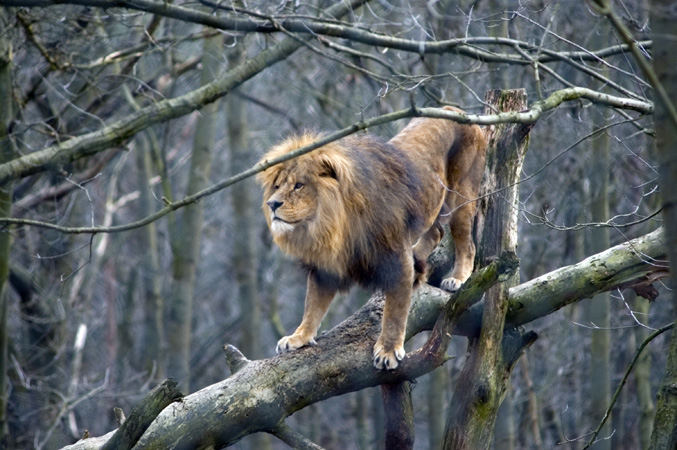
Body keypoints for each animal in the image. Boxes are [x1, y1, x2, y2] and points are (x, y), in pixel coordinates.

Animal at [258, 106, 486, 370]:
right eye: (276, 186)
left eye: (298, 185)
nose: (272, 204)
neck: (334, 225)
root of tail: (455, 109)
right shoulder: (325, 267)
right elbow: (312, 305)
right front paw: (299, 337)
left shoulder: (396, 258)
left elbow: (395, 311)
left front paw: (388, 350)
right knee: (436, 232)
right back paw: (418, 260)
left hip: (462, 196)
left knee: (466, 243)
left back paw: (457, 278)